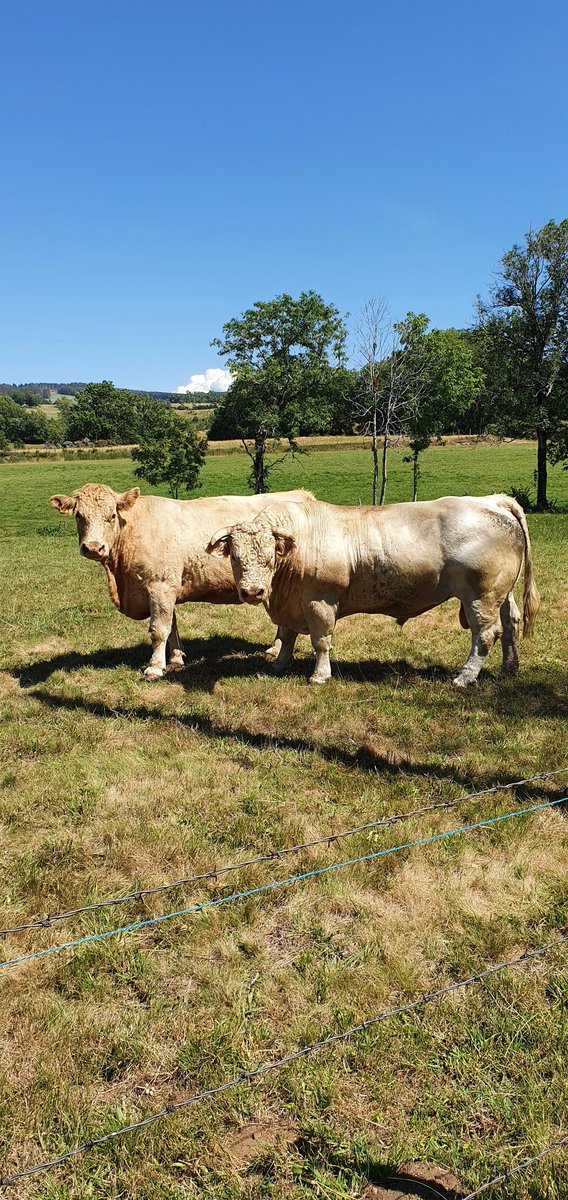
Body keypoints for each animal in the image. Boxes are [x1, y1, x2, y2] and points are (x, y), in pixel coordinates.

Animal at [49, 484, 314, 678]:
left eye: (111, 515)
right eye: (78, 516)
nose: (93, 547)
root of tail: (301, 494)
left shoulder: (160, 586)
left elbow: (159, 630)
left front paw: (155, 667)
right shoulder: (164, 588)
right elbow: (172, 626)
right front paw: (176, 658)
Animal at [206, 494, 539, 687]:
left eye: (269, 556)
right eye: (234, 557)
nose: (253, 592)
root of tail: (493, 501)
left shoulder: (319, 601)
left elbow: (321, 641)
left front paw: (319, 675)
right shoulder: (291, 605)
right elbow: (287, 637)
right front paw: (279, 664)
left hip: (481, 596)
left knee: (485, 634)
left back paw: (464, 677)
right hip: (501, 593)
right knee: (510, 623)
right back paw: (509, 669)